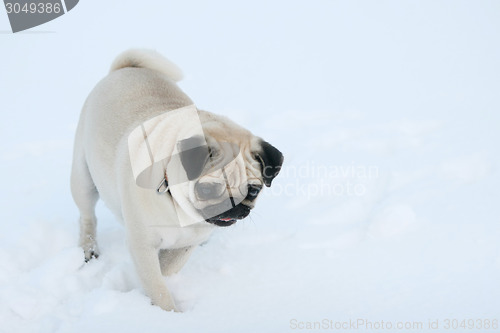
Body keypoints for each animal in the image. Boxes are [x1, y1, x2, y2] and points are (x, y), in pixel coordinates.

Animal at [71, 48, 284, 310]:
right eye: (207, 190)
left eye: (254, 191)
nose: (233, 207)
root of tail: (126, 68)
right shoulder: (142, 244)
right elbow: (157, 285)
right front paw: (167, 312)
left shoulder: (186, 243)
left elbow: (167, 268)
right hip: (83, 179)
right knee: (87, 217)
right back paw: (89, 249)